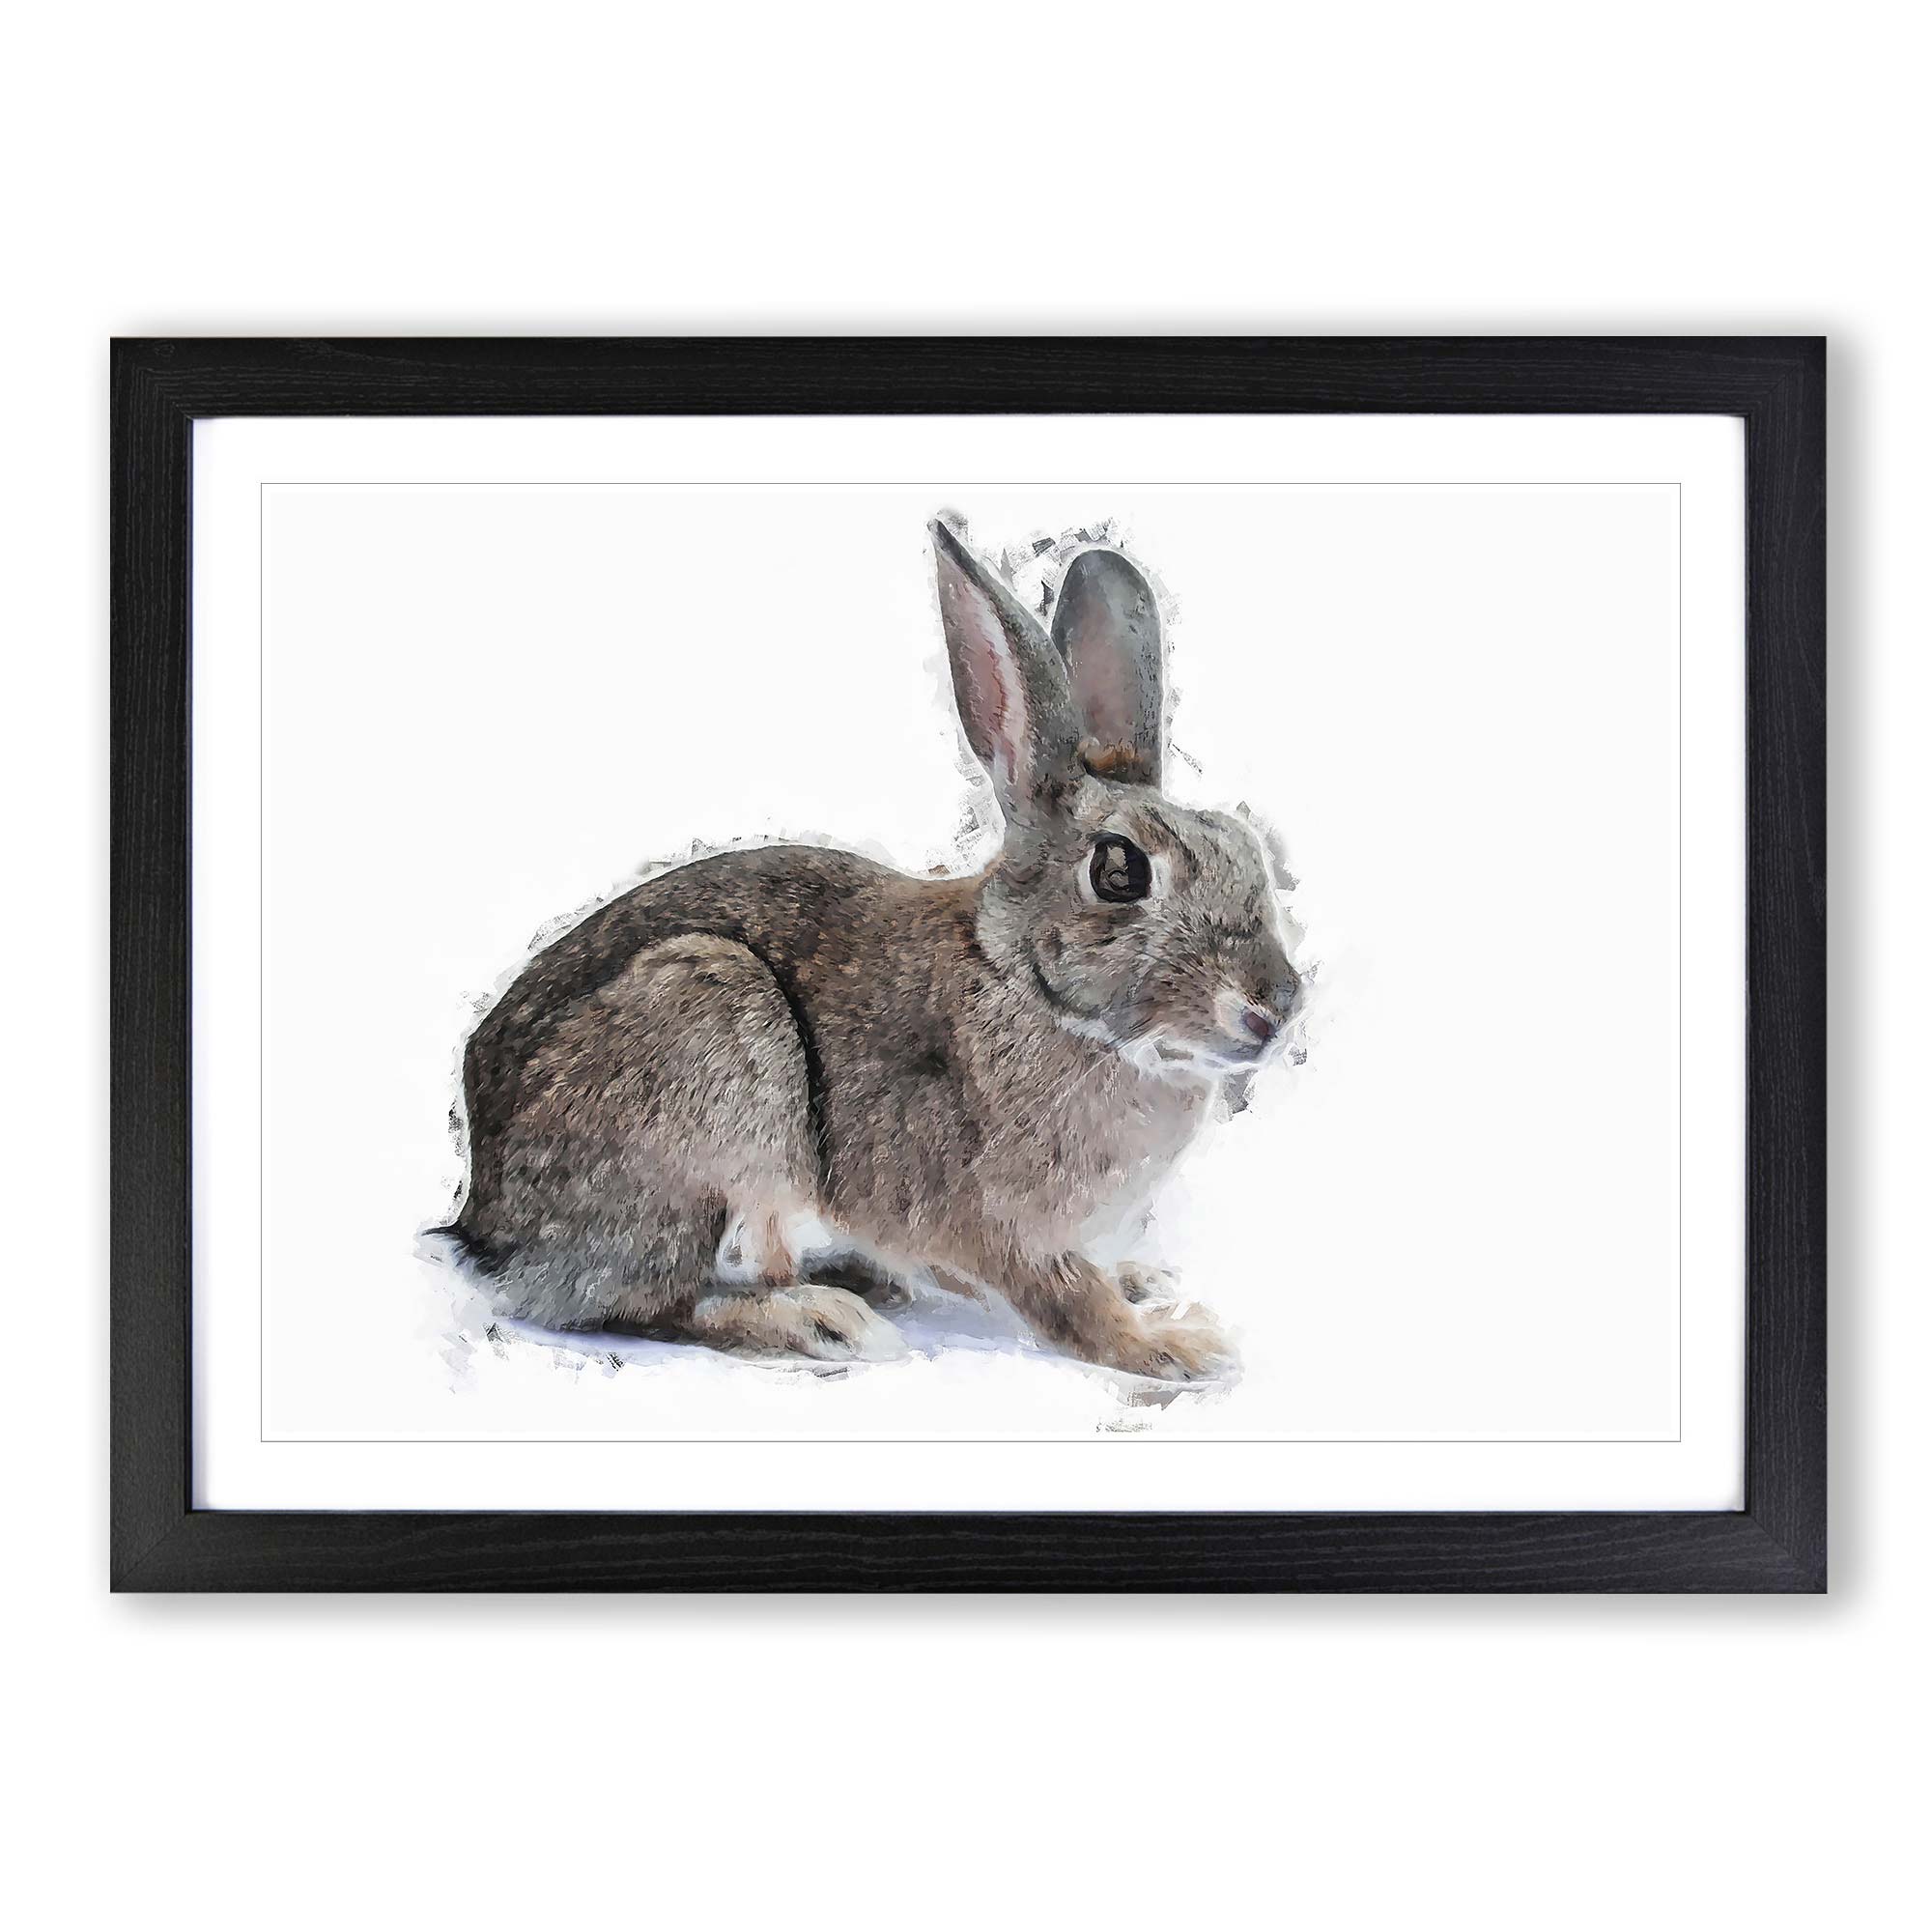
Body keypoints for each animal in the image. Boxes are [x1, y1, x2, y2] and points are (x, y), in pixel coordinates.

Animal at [442, 516, 1302, 1380]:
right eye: (1119, 870)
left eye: (1245, 849)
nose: (1276, 1008)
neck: (1027, 987)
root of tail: (484, 1220)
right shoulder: (999, 1225)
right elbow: (1068, 1303)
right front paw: (1172, 1344)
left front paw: (1142, 1281)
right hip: (708, 1044)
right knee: (641, 1302)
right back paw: (817, 1319)